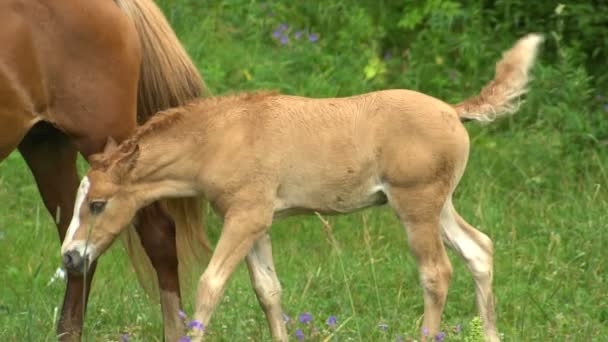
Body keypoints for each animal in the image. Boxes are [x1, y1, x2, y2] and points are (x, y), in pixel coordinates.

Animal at [61, 34, 544, 340]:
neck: (218, 138)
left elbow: (210, 285)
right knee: (479, 249)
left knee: (436, 272)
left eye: (98, 204)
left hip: (416, 205)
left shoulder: (245, 217)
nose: (70, 256)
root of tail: (453, 111)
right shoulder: (256, 223)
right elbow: (268, 291)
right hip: (438, 204)